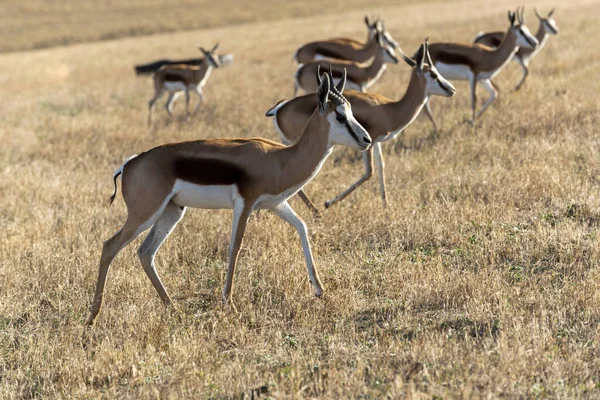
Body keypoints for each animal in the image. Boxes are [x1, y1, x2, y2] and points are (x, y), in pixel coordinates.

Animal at [84, 70, 370, 324]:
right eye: (340, 116)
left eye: (352, 112)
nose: (366, 139)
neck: (280, 159)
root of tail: (129, 164)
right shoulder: (244, 204)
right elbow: (235, 247)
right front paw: (229, 303)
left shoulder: (276, 204)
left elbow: (302, 227)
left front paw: (319, 289)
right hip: (145, 214)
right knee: (109, 246)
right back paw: (92, 316)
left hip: (171, 212)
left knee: (145, 253)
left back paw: (173, 309)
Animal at [268, 39, 454, 212]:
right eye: (434, 75)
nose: (451, 89)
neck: (390, 109)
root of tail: (279, 108)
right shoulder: (369, 142)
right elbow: (368, 172)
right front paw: (329, 202)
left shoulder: (375, 141)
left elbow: (381, 166)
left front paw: (386, 204)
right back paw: (315, 211)